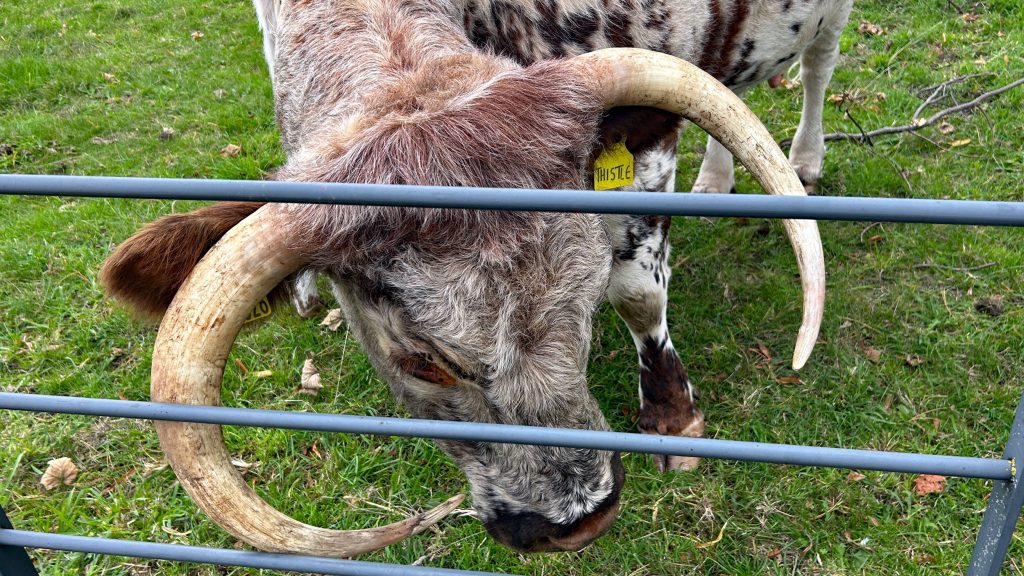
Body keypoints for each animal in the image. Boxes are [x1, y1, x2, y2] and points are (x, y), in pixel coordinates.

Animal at [100, 0, 827, 558]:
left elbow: (639, 293)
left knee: (820, 64)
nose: (578, 522)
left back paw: (807, 158)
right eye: (421, 360)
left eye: (585, 310)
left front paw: (673, 419)